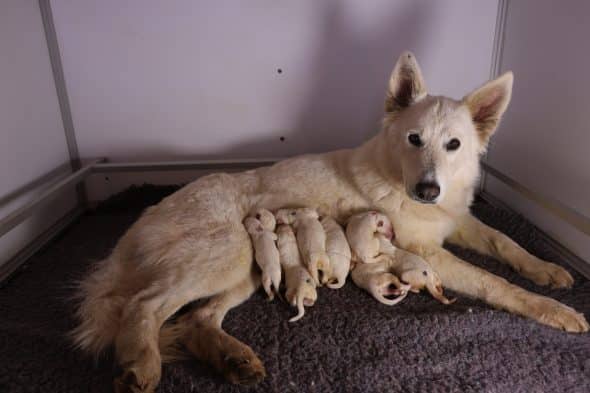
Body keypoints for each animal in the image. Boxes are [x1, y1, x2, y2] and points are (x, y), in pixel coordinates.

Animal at [74, 52, 588, 392]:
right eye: (414, 139)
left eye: (454, 145)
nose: (427, 190)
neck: (396, 174)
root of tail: (140, 223)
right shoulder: (428, 251)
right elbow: (493, 282)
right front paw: (551, 308)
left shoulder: (458, 222)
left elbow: (506, 243)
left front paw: (547, 270)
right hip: (227, 254)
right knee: (144, 305)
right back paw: (141, 364)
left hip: (248, 270)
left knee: (196, 319)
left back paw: (232, 359)